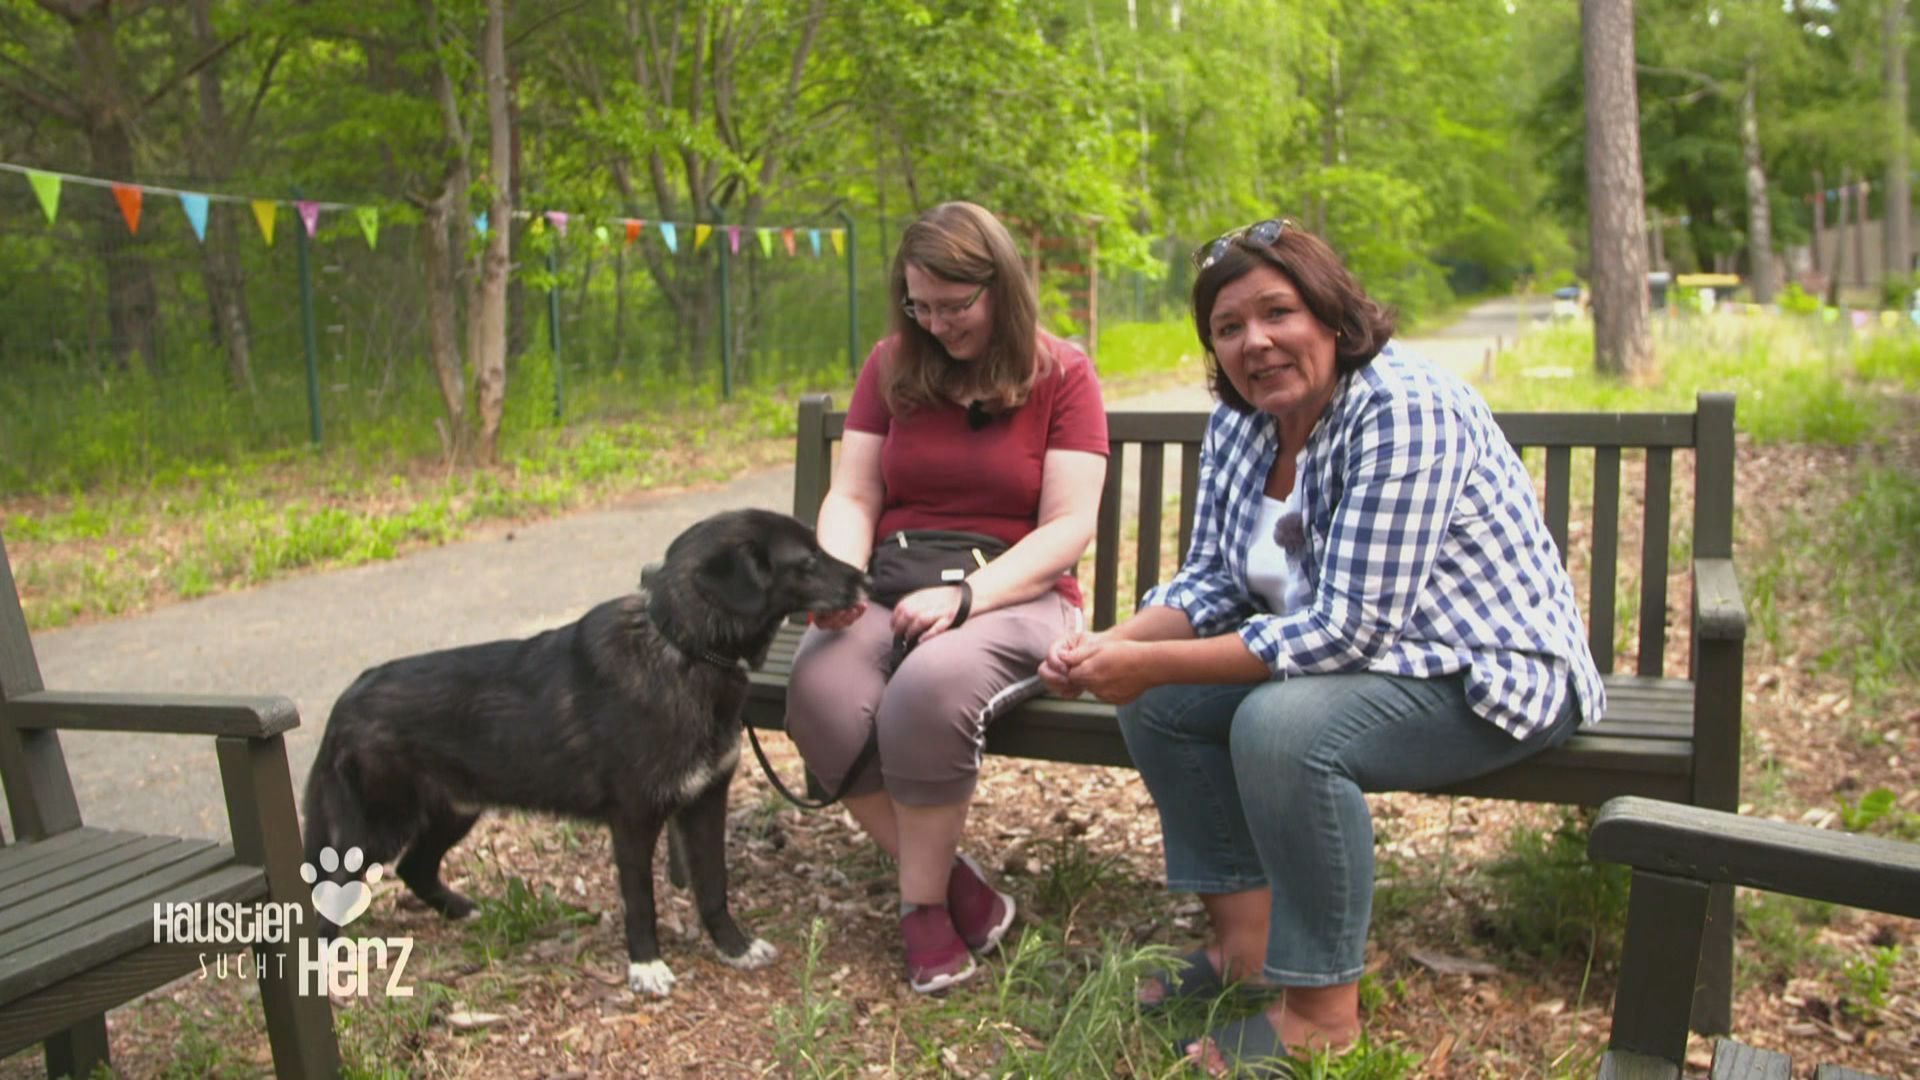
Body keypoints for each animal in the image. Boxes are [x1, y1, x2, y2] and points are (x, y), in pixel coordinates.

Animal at [301, 507, 871, 991]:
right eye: (807, 560)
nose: (865, 579)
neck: (684, 649)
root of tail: (346, 700)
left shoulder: (706, 803)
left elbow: (714, 886)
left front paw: (734, 948)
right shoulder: (634, 820)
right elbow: (641, 901)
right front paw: (647, 967)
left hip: (453, 810)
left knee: (414, 869)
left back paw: (462, 911)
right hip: (371, 831)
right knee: (324, 898)